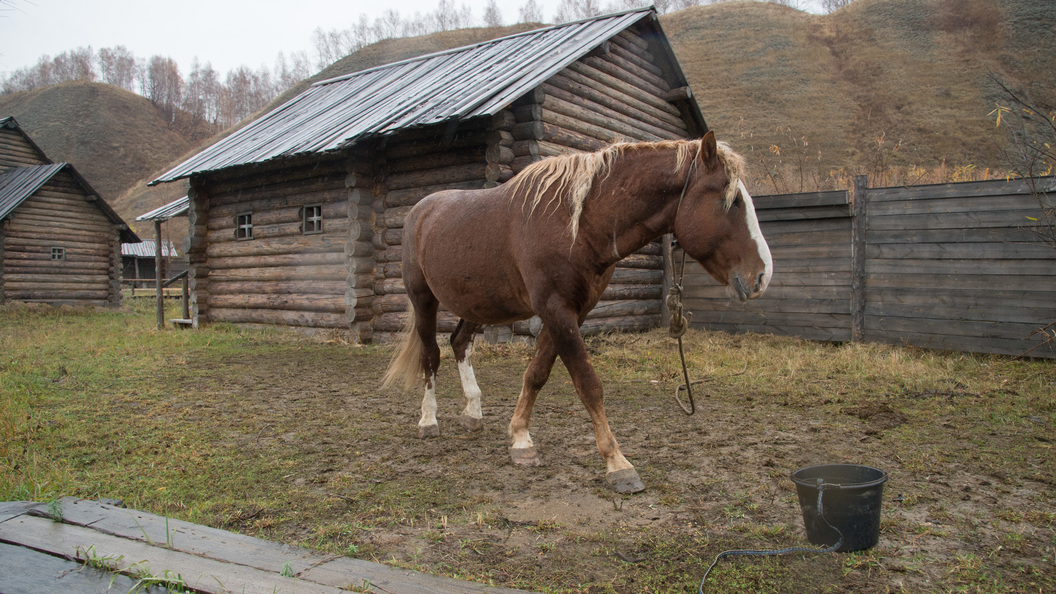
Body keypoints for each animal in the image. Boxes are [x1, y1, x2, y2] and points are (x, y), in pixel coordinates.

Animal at [384, 131, 772, 492]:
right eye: (731, 200)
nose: (763, 275)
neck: (577, 223)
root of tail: (420, 211)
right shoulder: (556, 308)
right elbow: (587, 383)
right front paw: (617, 463)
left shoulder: (574, 311)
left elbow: (537, 374)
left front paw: (521, 438)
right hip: (423, 300)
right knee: (431, 356)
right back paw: (428, 421)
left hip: (478, 304)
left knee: (460, 343)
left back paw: (473, 413)